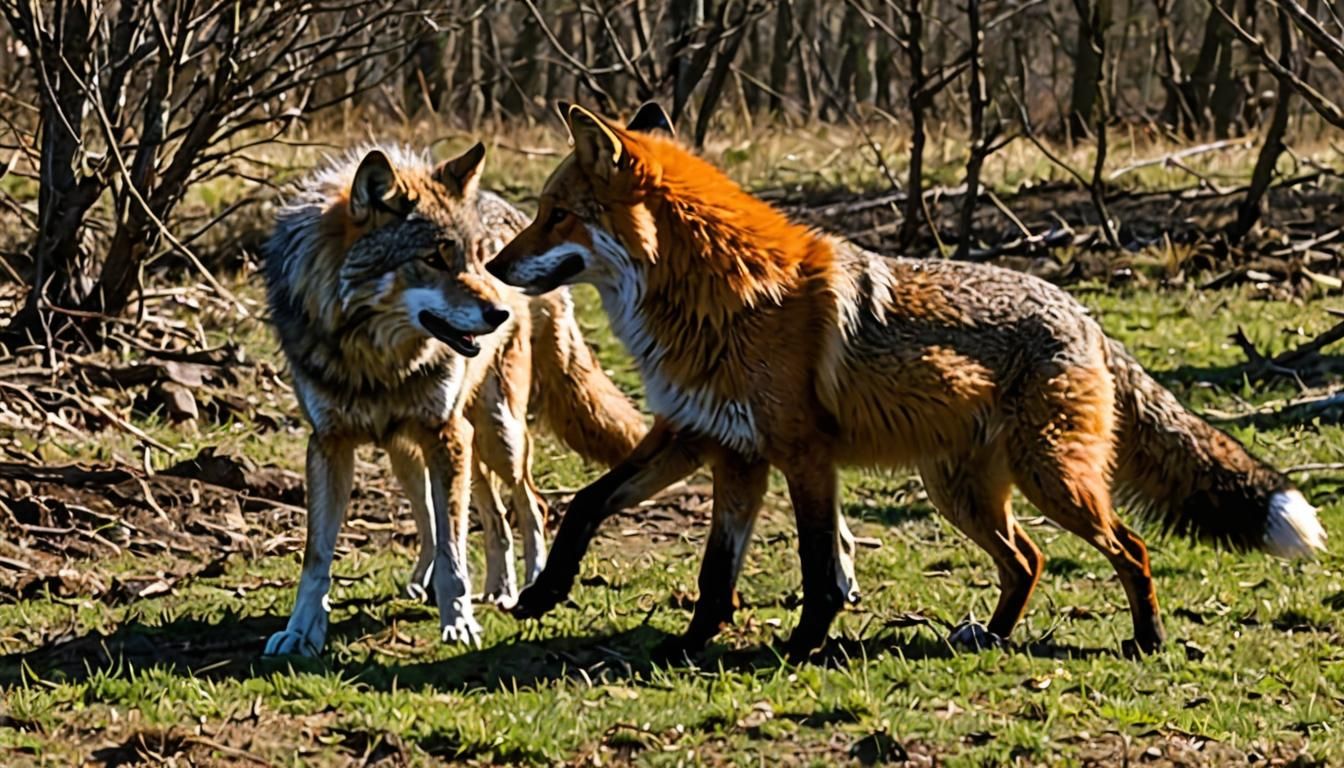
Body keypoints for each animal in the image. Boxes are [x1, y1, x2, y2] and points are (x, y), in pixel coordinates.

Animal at [261, 142, 644, 656]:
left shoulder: (446, 433)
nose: (501, 311)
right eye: (434, 259)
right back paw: (484, 587)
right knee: (463, 515)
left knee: (529, 505)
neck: (376, 361)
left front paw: (459, 622)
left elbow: (454, 550)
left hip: (497, 435)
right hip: (417, 452)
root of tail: (513, 208)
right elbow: (318, 555)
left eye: (476, 257)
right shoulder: (329, 443)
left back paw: (529, 584)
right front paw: (302, 630)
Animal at [486, 102, 1327, 661]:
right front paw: (571, 603)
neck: (724, 299)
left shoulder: (800, 453)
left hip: (1054, 481)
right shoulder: (710, 442)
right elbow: (644, 533)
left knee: (1131, 548)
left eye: (555, 215)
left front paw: (798, 645)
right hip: (960, 493)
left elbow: (818, 568)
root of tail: (1083, 312)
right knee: (1029, 560)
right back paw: (992, 636)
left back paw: (1146, 640)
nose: (491, 267)